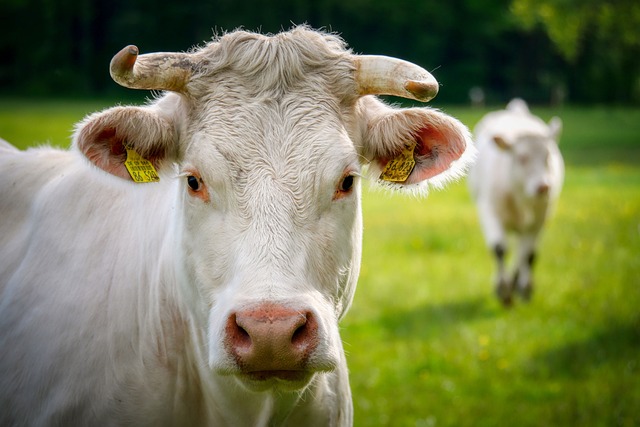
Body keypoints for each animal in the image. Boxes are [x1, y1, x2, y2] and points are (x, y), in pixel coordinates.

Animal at [468, 99, 564, 308]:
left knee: (523, 252)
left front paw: (524, 289)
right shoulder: (489, 211)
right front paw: (503, 291)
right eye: (521, 157)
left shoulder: (540, 219)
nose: (543, 186)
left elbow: (529, 255)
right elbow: (499, 249)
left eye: (547, 156)